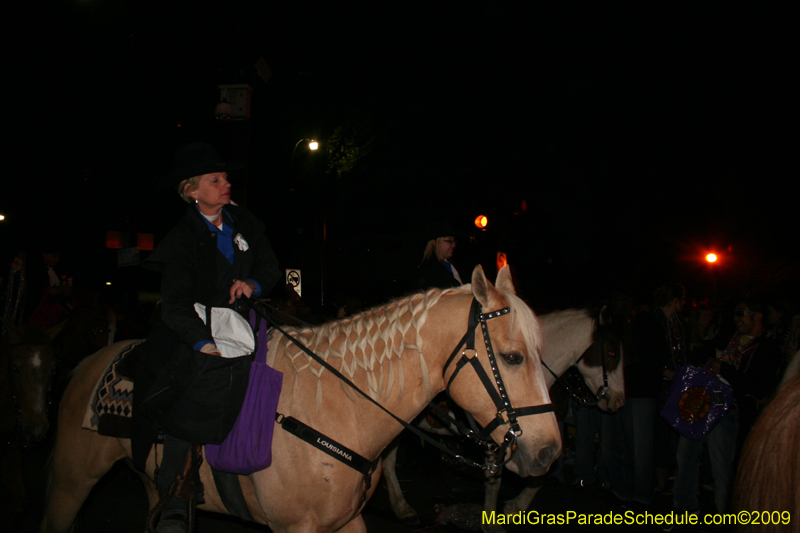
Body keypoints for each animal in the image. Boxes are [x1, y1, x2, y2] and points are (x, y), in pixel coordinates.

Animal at [40, 266, 560, 532]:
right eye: (512, 357)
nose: (550, 451)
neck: (336, 408)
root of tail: (87, 363)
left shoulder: (346, 523)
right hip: (68, 482)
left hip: (149, 479)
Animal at [382, 304, 624, 528]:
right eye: (612, 353)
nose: (618, 401)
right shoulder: (498, 439)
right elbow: (495, 482)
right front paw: (492, 521)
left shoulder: (535, 445)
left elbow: (540, 473)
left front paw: (516, 506)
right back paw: (402, 508)